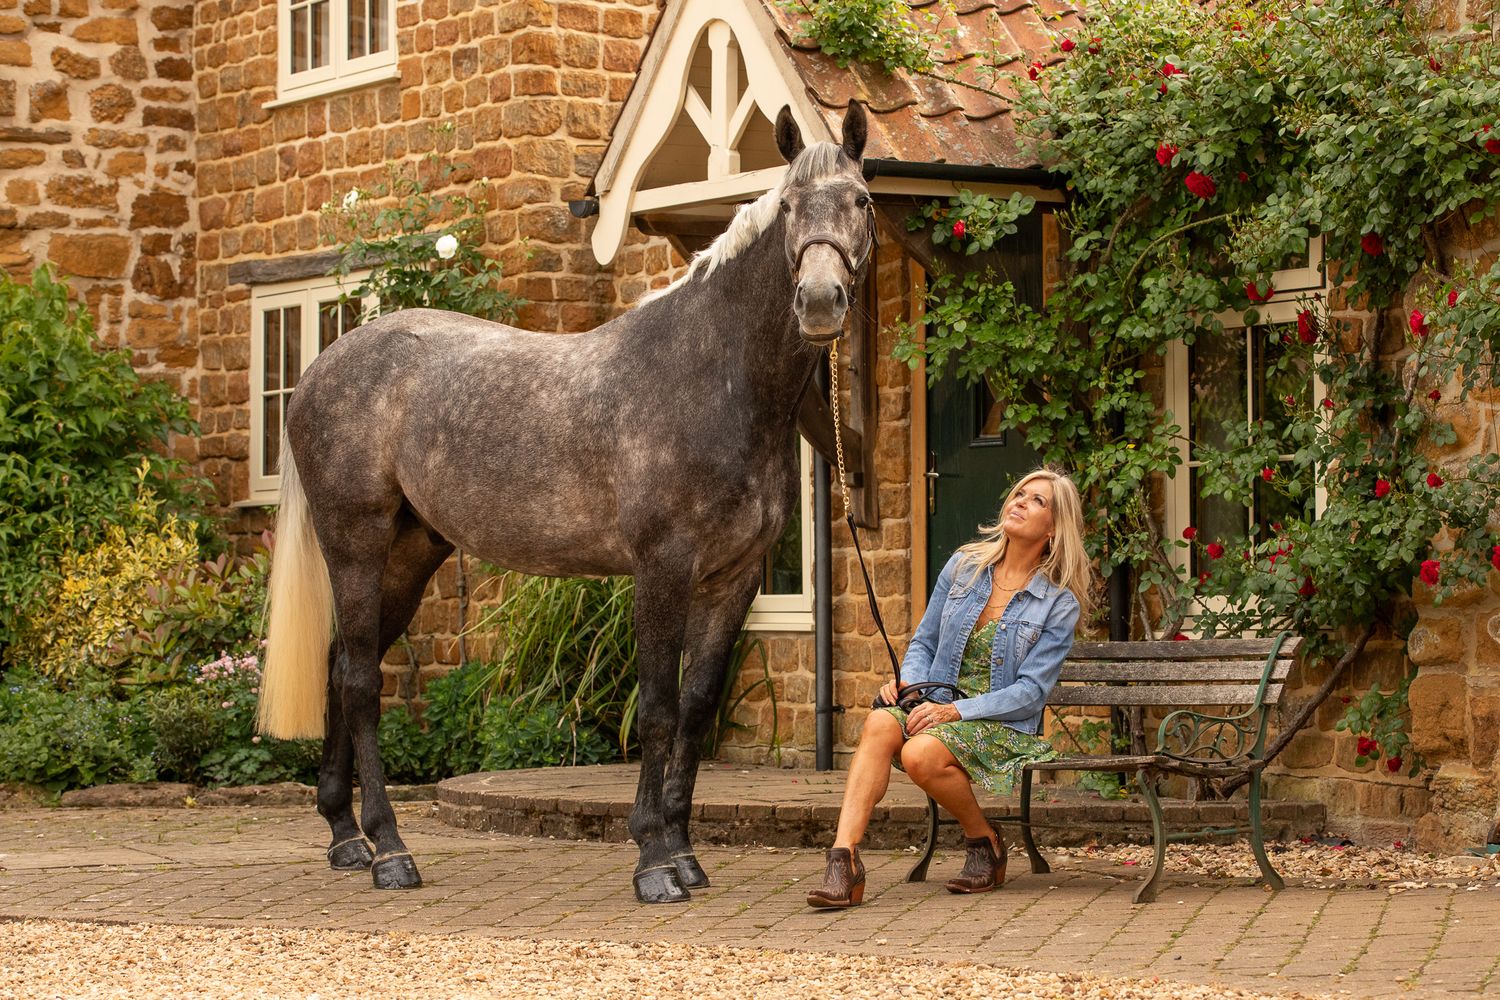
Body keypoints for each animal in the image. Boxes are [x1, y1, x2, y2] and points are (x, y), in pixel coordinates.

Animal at [255, 100, 874, 904]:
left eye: (860, 202)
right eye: (791, 206)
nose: (821, 302)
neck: (709, 375)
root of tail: (317, 372)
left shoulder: (732, 578)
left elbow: (696, 707)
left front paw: (685, 853)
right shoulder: (662, 568)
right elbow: (657, 707)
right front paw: (653, 862)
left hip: (410, 553)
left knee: (339, 664)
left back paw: (344, 837)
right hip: (355, 542)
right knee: (361, 681)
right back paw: (390, 851)